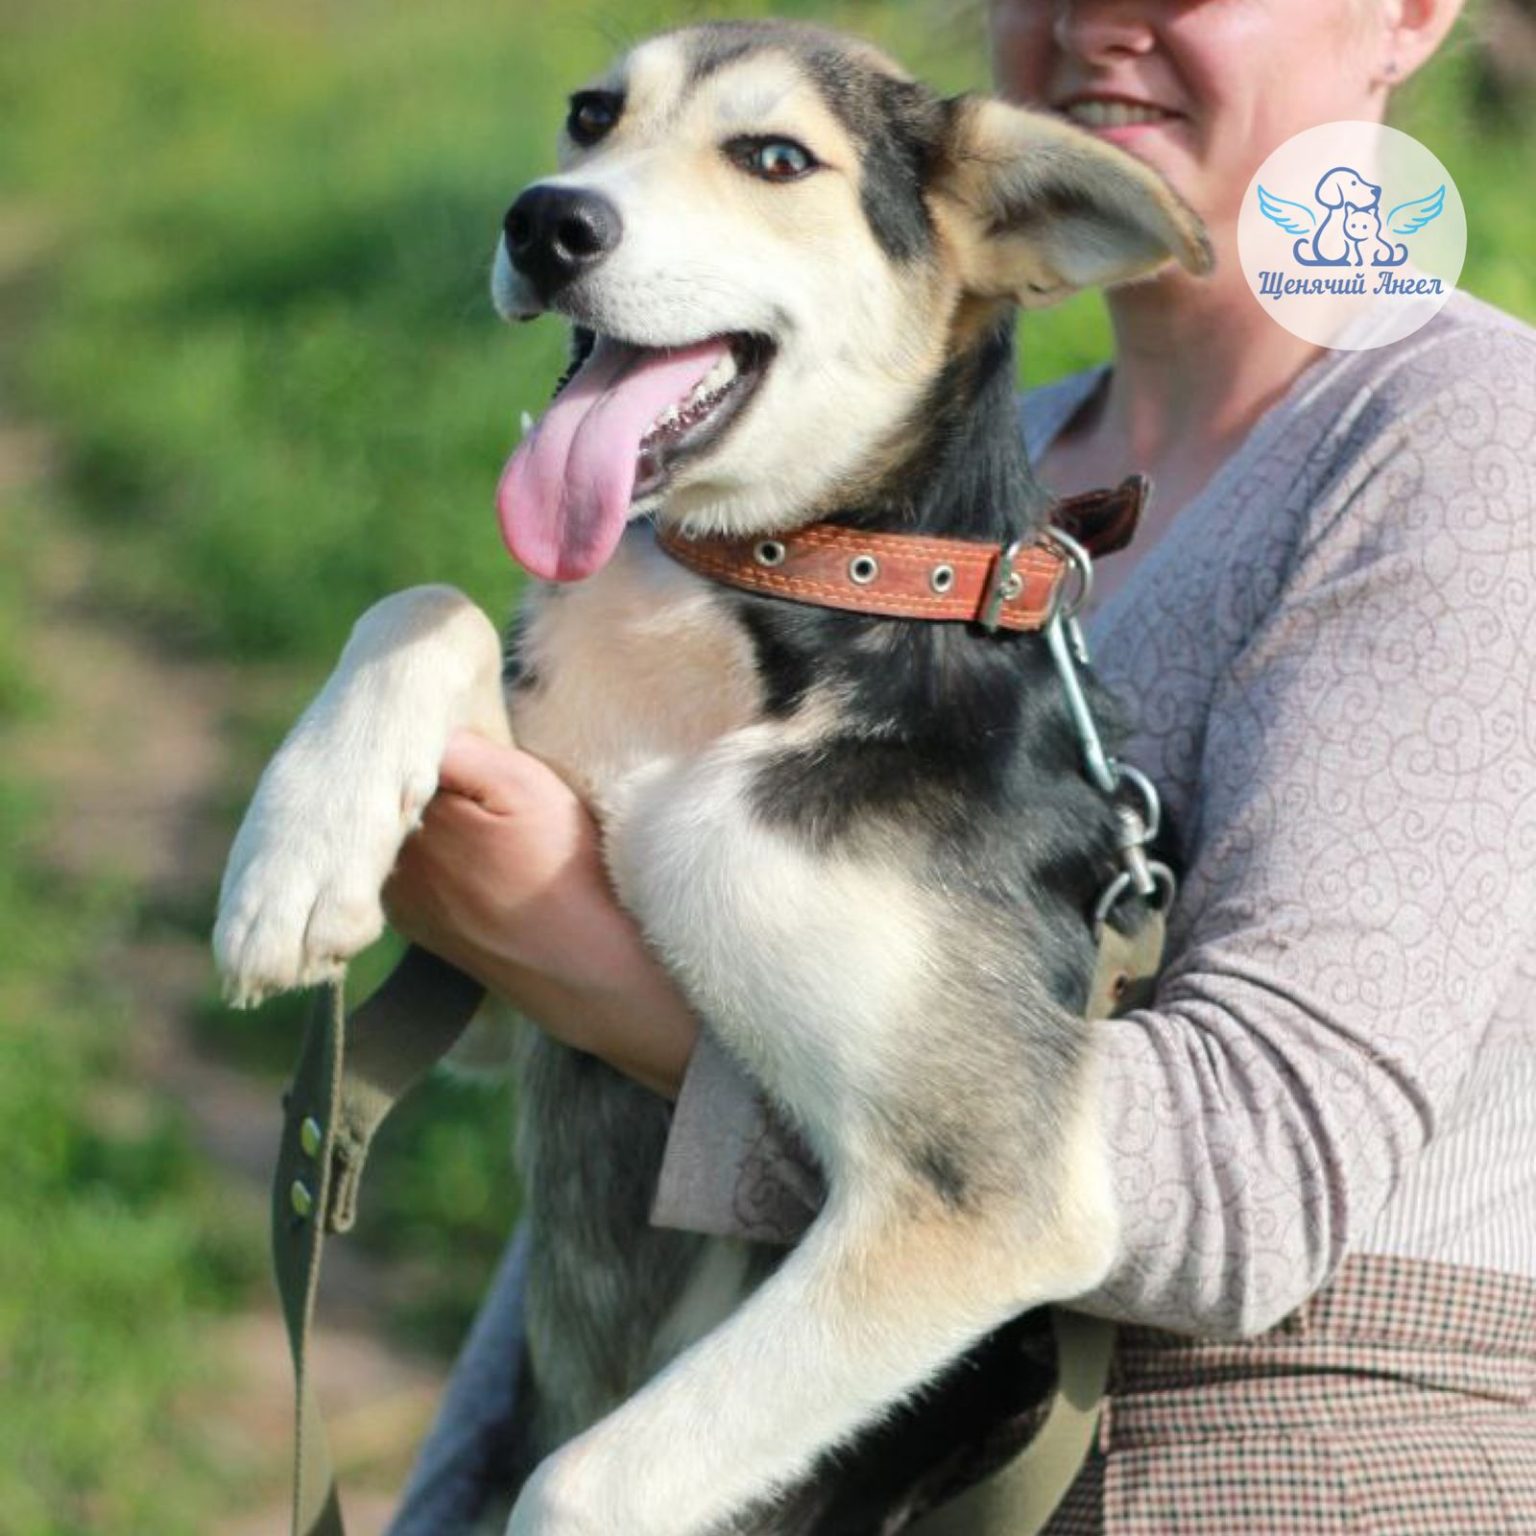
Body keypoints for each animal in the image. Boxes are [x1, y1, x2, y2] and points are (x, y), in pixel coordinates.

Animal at [210, 24, 1204, 1536]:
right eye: (590, 115)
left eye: (776, 157)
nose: (545, 222)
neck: (767, 594)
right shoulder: (505, 1009)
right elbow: (426, 603)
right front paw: (297, 860)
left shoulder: (985, 1194)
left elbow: (577, 1481)